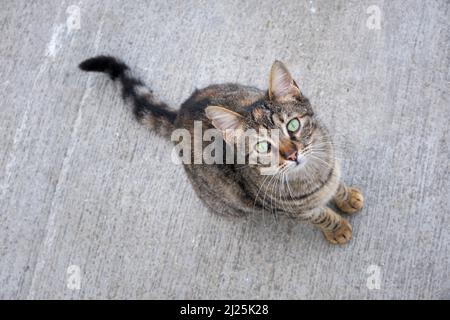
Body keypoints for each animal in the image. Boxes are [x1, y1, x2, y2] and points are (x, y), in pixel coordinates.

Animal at [79, 55, 364, 245]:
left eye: (293, 125)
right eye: (263, 146)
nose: (293, 155)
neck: (314, 174)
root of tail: (181, 112)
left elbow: (337, 186)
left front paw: (347, 197)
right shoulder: (296, 212)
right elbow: (322, 217)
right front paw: (337, 228)